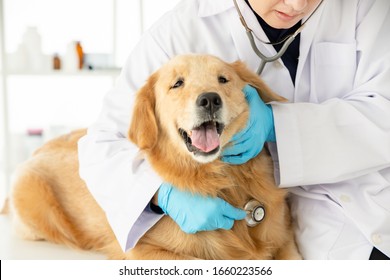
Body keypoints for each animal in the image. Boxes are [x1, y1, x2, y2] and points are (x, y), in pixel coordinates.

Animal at [9, 53, 302, 260]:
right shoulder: (143, 250)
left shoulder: (285, 240)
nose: (209, 99)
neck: (222, 178)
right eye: (177, 84)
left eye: (223, 79)